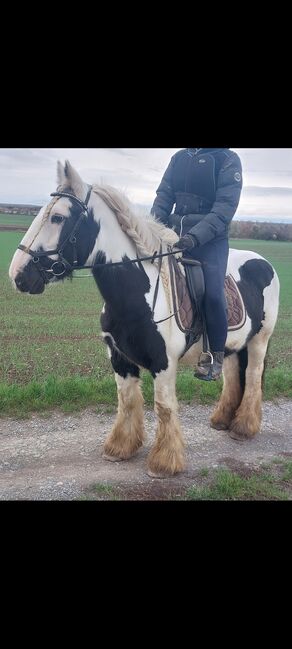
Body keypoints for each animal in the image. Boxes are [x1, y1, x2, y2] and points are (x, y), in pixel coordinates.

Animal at [8, 161, 280, 476]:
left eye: (57, 217)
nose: (17, 275)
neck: (136, 292)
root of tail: (264, 263)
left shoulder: (164, 363)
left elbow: (163, 406)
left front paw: (164, 462)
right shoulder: (119, 358)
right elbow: (126, 402)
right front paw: (120, 448)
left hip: (260, 341)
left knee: (253, 377)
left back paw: (244, 427)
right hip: (233, 347)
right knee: (233, 377)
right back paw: (223, 420)